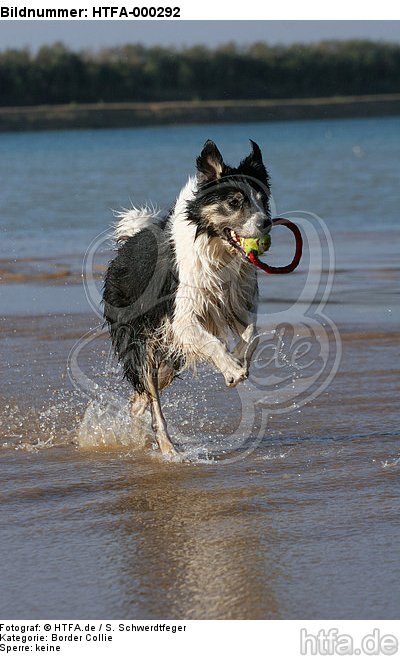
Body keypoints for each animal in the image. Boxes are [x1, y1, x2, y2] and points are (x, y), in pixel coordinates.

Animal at [103, 140, 272, 456]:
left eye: (262, 199)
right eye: (234, 202)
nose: (266, 223)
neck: (215, 246)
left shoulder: (236, 300)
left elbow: (252, 334)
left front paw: (238, 360)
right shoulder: (181, 316)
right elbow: (213, 342)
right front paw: (232, 371)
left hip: (171, 353)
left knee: (145, 394)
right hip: (141, 340)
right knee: (152, 398)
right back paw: (168, 448)